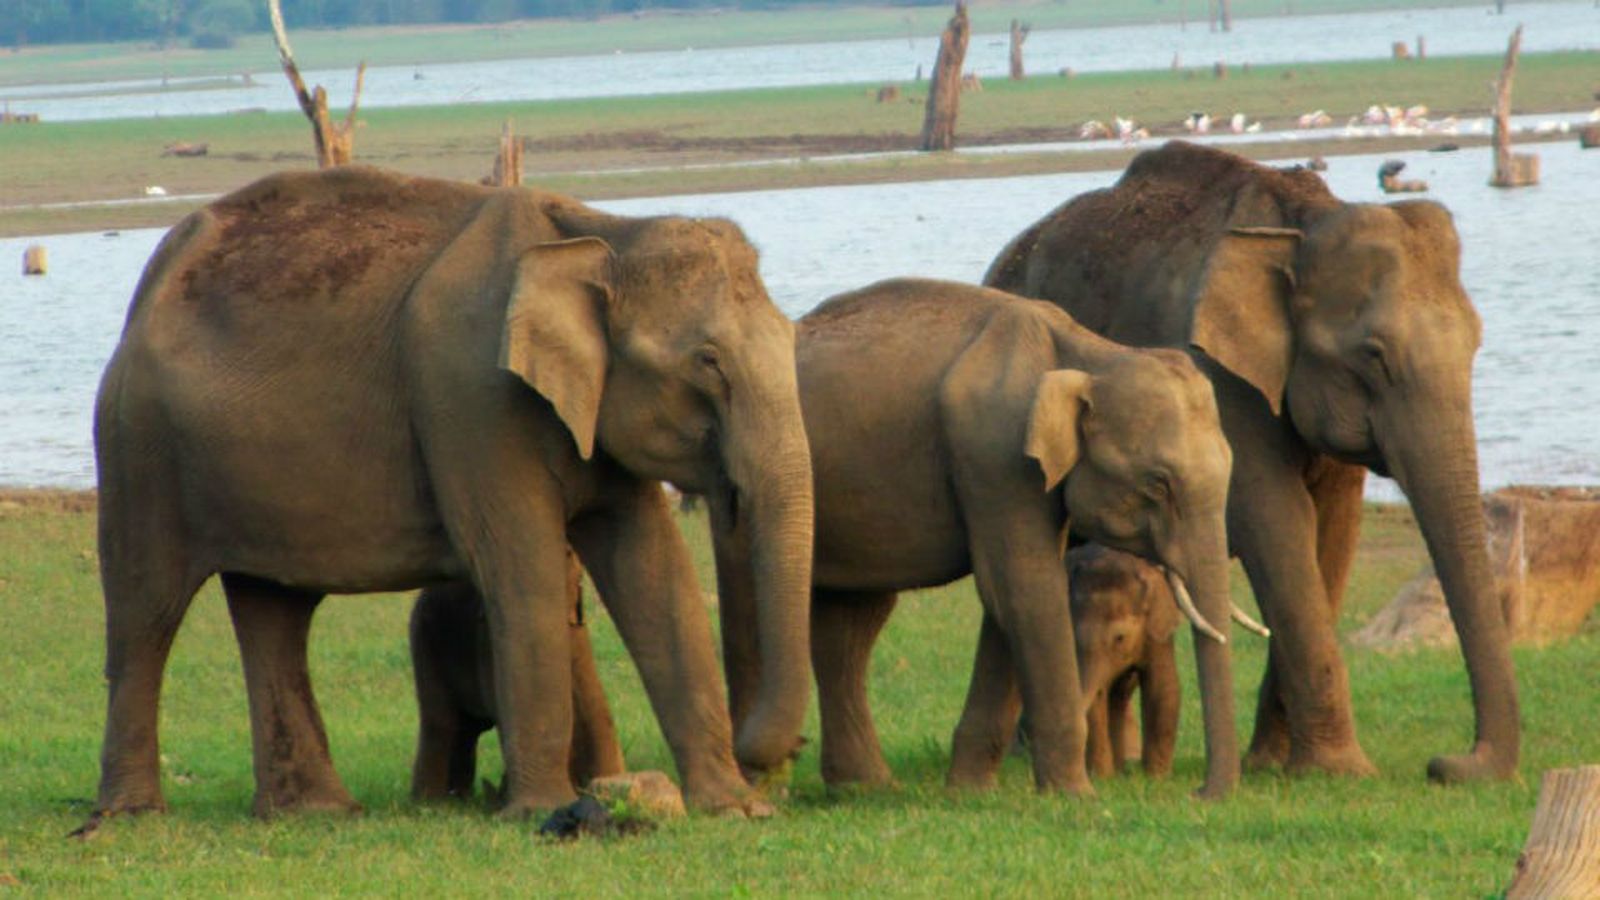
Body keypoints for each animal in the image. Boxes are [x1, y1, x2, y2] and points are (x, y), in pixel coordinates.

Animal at [409, 549, 625, 801]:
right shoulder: (488, 645)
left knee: (465, 729)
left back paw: (460, 799)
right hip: (424, 640)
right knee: (441, 722)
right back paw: (433, 802)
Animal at [719, 277, 1243, 798]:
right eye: (1158, 483)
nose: (1199, 795)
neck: (1088, 353)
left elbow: (1008, 598)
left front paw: (971, 790)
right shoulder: (995, 454)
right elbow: (1024, 589)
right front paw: (1076, 796)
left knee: (850, 623)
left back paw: (862, 789)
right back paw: (766, 786)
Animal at [985, 140, 1519, 783]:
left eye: (1476, 342)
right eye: (1374, 354)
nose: (1446, 765)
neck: (1304, 222)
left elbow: (1333, 531)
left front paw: (1275, 763)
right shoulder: (1216, 372)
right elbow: (1276, 520)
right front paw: (1338, 772)